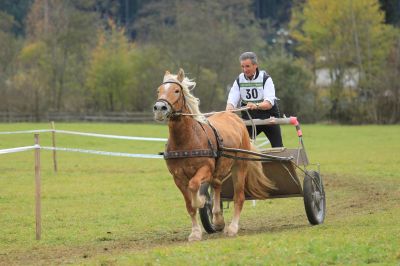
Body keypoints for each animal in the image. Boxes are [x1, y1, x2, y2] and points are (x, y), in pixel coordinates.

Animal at [153, 68, 276, 241]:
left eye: (176, 90)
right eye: (159, 90)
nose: (159, 108)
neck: (187, 140)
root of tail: (233, 116)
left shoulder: (205, 169)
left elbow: (194, 187)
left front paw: (201, 201)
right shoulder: (177, 177)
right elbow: (189, 206)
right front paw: (195, 232)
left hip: (240, 166)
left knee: (239, 197)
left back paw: (232, 228)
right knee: (217, 185)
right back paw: (218, 219)